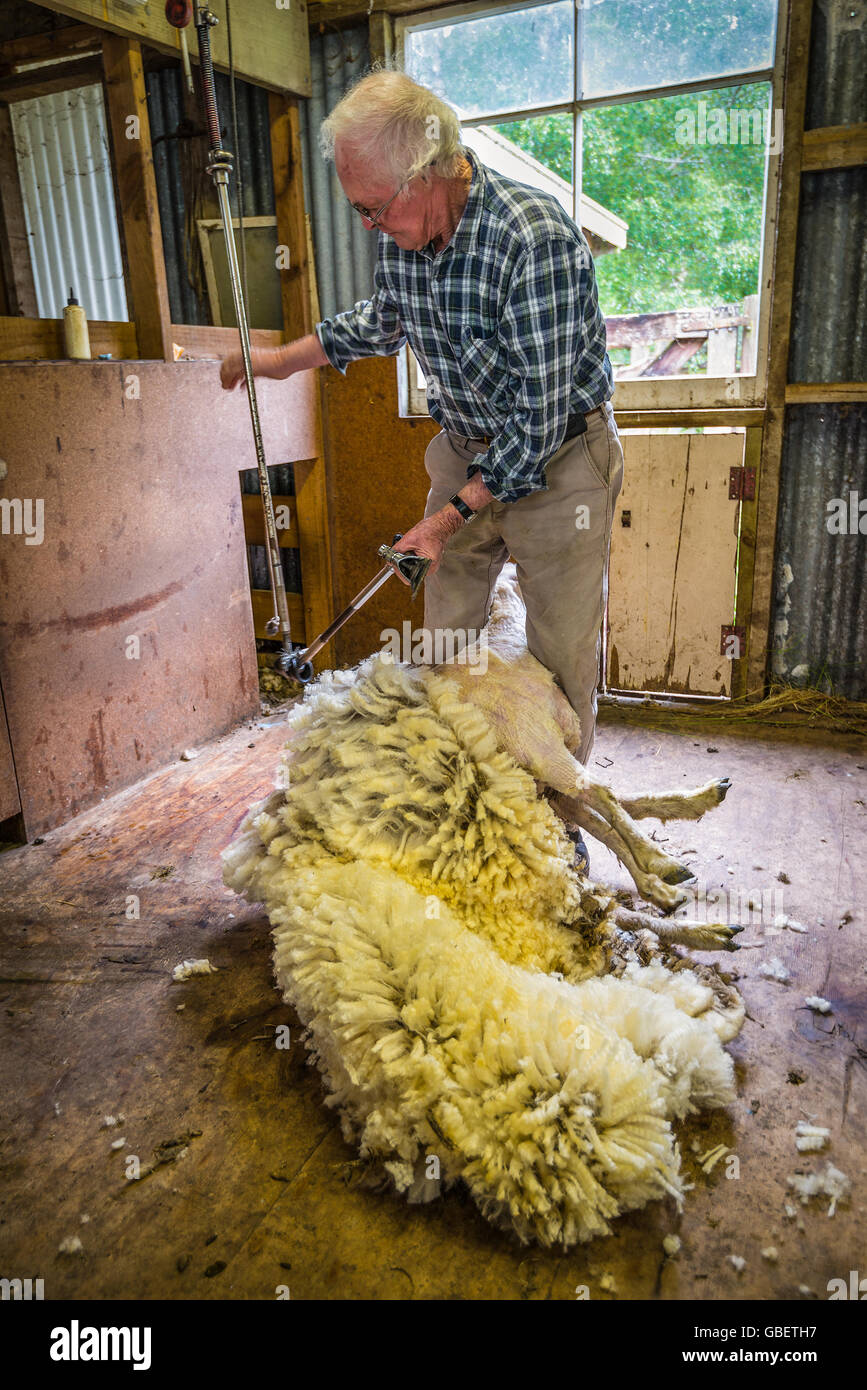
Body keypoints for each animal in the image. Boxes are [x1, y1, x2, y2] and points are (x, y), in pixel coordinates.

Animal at [222, 566, 745, 1247]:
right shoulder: (546, 757)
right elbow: (606, 801)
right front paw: (663, 866)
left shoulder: (544, 776)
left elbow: (608, 814)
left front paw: (668, 851)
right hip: (535, 782)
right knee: (600, 814)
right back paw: (675, 883)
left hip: (534, 788)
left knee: (600, 832)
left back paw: (677, 861)